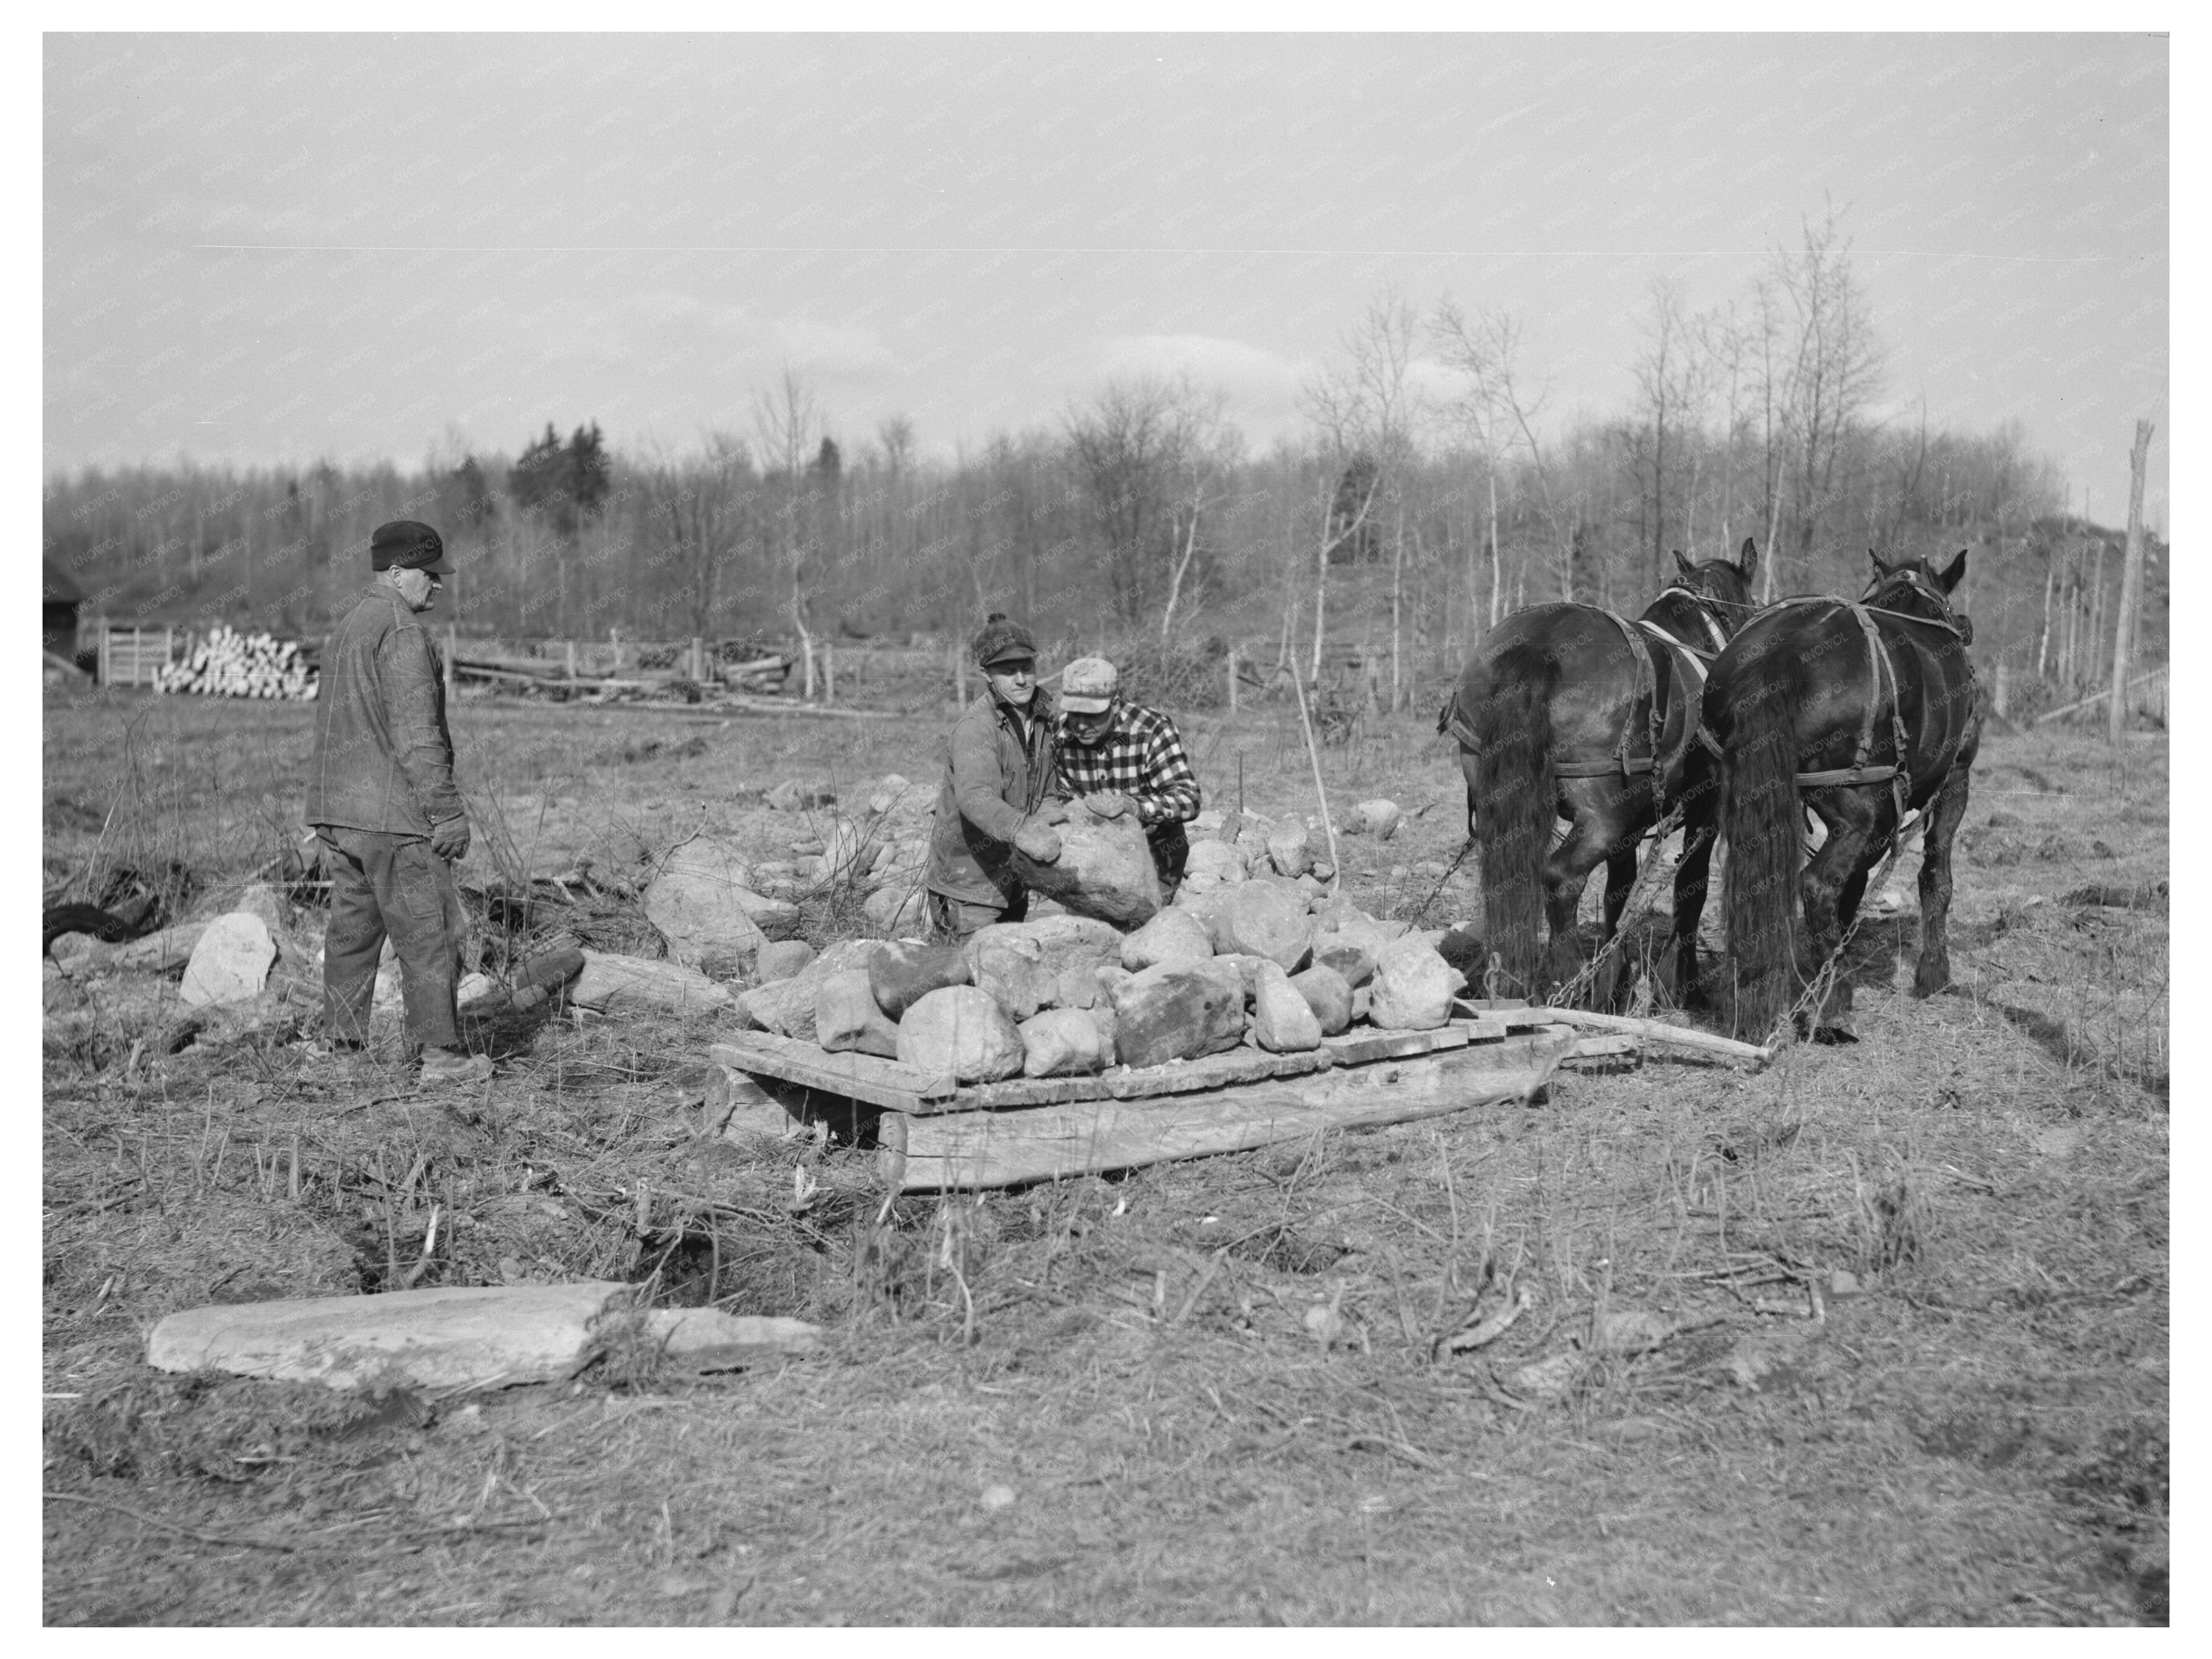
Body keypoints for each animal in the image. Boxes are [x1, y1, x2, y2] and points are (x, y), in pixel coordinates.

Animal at [1433, 540, 1760, 1008]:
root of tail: (1537, 647)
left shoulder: (1631, 824)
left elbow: (1618, 893)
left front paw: (1615, 981)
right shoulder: (1703, 812)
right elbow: (1691, 887)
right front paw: (1679, 984)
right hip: (1601, 818)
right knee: (1562, 880)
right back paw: (1568, 979)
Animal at [1672, 553, 1991, 1044]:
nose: (1966, 627)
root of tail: (1780, 656)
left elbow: (1855, 888)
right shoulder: (1955, 781)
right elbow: (1936, 878)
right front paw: (1935, 973)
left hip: (1716, 798)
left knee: (1703, 881)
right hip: (1858, 809)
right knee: (1818, 886)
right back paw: (1834, 1005)